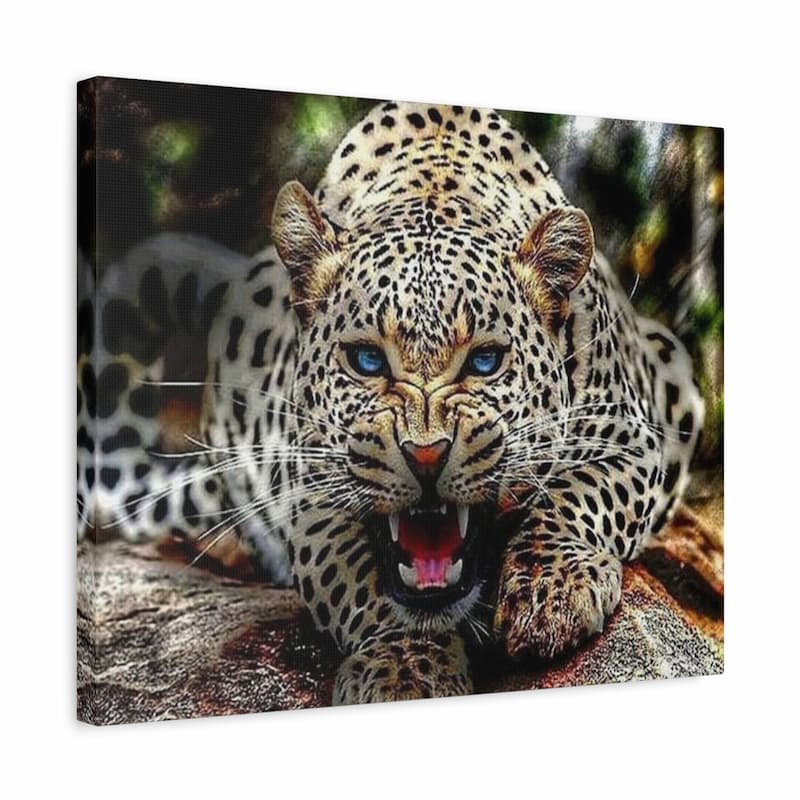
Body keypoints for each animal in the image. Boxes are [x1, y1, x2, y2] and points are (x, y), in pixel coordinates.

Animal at [77, 101, 703, 705]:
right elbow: (365, 586)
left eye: (484, 362)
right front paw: (406, 669)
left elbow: (581, 498)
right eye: (367, 361)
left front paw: (554, 593)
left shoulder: (631, 436)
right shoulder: (310, 492)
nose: (425, 456)